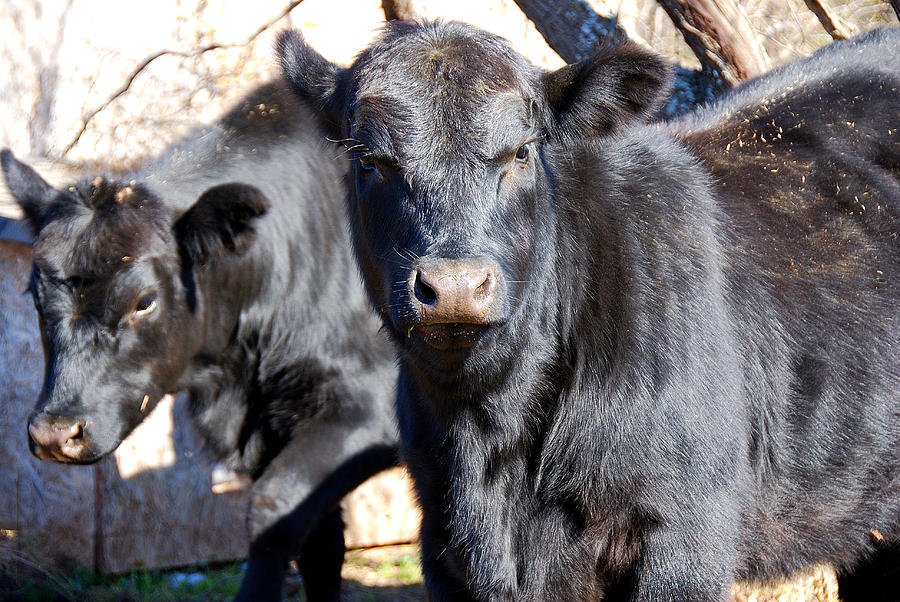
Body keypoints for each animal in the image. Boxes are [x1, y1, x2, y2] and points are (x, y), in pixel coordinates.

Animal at [0, 77, 400, 596]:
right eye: (33, 293)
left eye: (144, 301)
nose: (53, 434)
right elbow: (320, 544)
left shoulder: (368, 407)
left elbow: (273, 509)